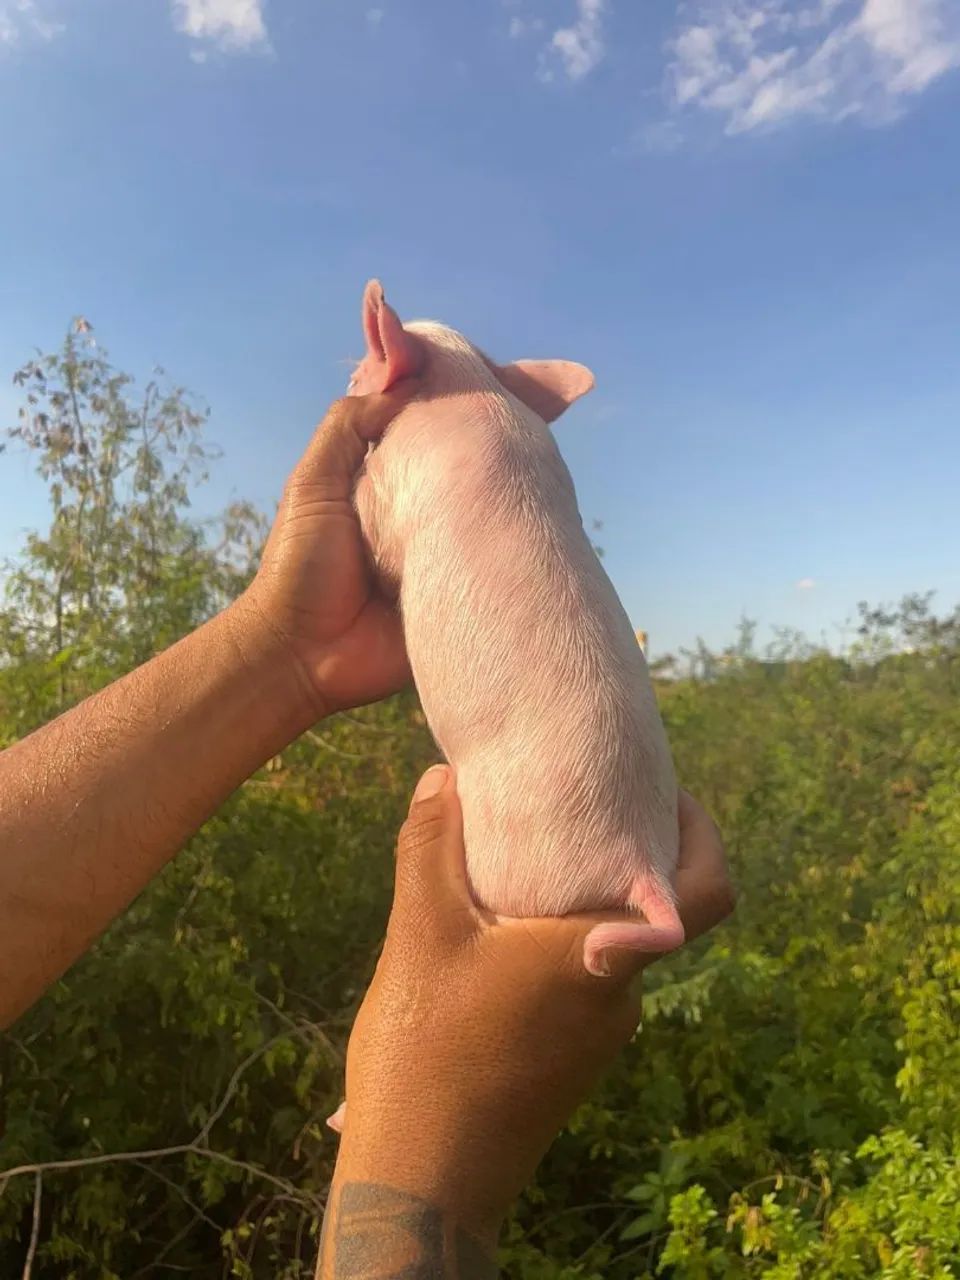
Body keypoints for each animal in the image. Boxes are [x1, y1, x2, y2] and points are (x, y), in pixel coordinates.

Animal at [348, 280, 683, 969]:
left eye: (363, 362)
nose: (346, 379)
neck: (473, 385)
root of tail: (642, 865)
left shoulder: (394, 487)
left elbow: (372, 527)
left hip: (513, 872)